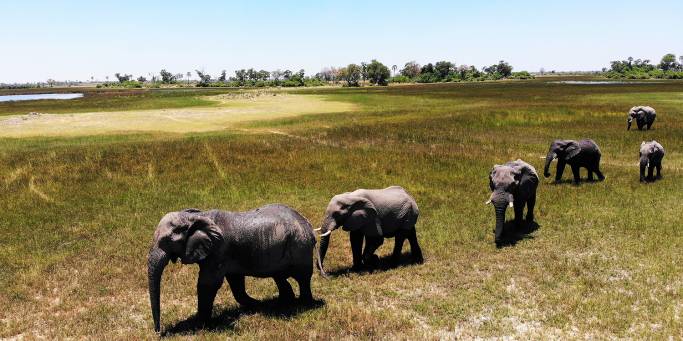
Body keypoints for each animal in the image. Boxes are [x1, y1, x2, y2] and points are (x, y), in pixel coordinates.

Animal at [148, 205, 316, 332]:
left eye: (166, 241)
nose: (158, 332)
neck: (196, 216)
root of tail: (308, 224)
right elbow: (236, 282)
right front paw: (259, 306)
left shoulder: (219, 250)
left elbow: (208, 284)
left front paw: (200, 325)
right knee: (279, 277)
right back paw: (282, 303)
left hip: (300, 247)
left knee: (303, 277)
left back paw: (304, 304)